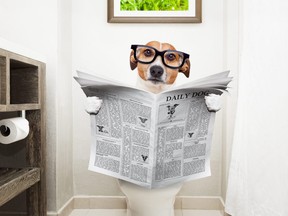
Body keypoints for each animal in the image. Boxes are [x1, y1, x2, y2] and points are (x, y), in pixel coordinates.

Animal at [85, 41, 220, 115]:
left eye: (171, 56)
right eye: (148, 52)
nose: (156, 70)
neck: (155, 92)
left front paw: (213, 101)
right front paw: (92, 103)